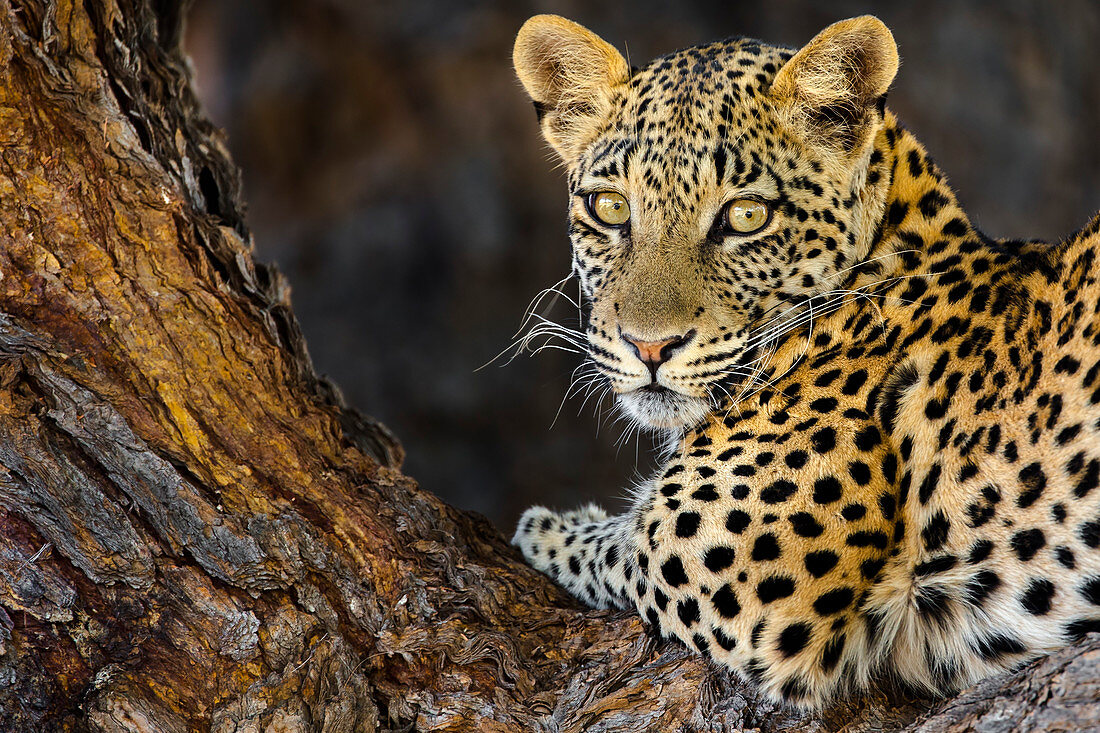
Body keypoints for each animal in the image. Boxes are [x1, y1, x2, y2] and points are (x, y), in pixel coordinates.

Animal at [510, 11, 1100, 708]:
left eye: (745, 216)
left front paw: (546, 524)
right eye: (610, 208)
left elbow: (617, 545)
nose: (649, 347)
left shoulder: (715, 563)